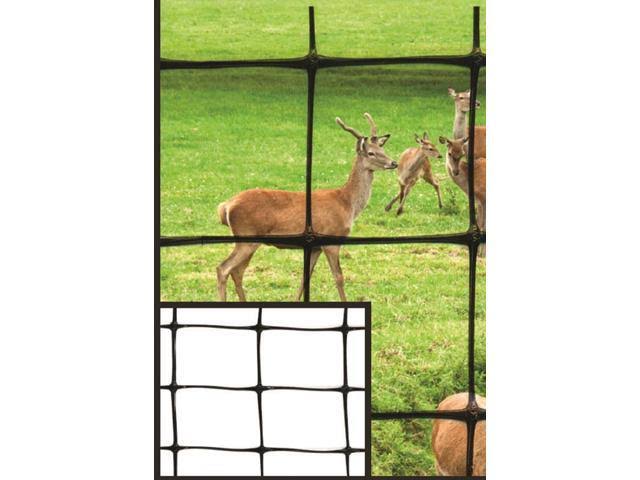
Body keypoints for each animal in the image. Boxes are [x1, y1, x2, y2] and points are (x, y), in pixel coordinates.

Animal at [215, 113, 397, 302]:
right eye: (371, 153)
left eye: (383, 150)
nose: (394, 162)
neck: (347, 203)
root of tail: (226, 206)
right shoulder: (331, 238)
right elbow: (339, 277)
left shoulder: (315, 247)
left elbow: (305, 277)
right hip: (247, 235)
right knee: (223, 268)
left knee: (237, 271)